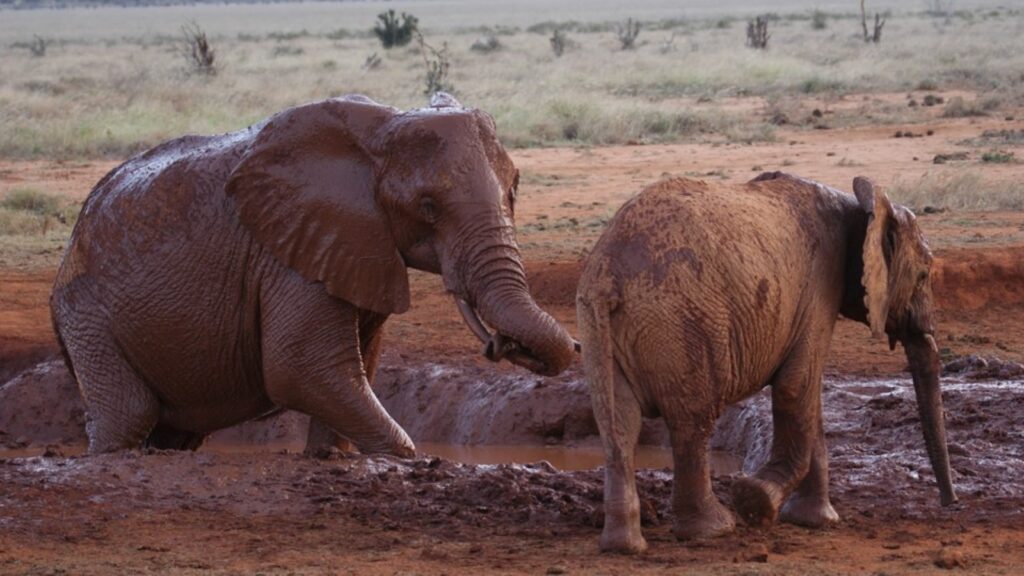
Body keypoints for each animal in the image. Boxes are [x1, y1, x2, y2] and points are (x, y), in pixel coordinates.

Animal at [49, 93, 577, 453]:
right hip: (85, 315)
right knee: (128, 416)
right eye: (428, 206)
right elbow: (303, 369)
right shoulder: (290, 251)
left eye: (514, 189)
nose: (502, 344)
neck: (380, 130)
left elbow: (353, 369)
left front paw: (332, 459)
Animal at [577, 171, 958, 553]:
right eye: (924, 275)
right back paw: (713, 530)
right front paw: (756, 501)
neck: (860, 206)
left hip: (601, 327)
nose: (950, 503)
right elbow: (796, 386)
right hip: (681, 322)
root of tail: (607, 274)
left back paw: (624, 546)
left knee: (620, 426)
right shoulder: (819, 289)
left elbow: (810, 401)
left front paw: (815, 521)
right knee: (693, 421)